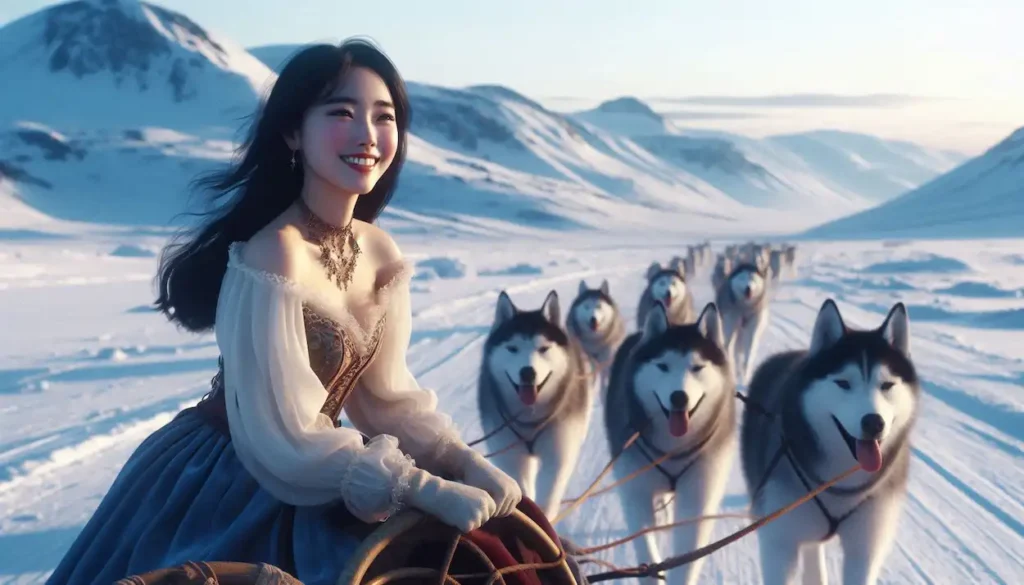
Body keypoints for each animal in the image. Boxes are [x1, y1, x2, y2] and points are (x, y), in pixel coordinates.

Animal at [479, 290, 593, 520]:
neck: (529, 417)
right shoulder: (511, 456)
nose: (527, 372)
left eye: (544, 348)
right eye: (512, 348)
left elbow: (548, 498)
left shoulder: (557, 455)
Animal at [598, 301, 737, 585]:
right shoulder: (636, 493)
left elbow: (687, 557)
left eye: (697, 368)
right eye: (663, 366)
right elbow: (647, 550)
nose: (679, 397)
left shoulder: (698, 495)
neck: (674, 449)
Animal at [741, 301, 917, 585]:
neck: (840, 484)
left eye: (887, 385)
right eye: (843, 383)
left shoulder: (864, 549)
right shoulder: (779, 544)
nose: (874, 422)